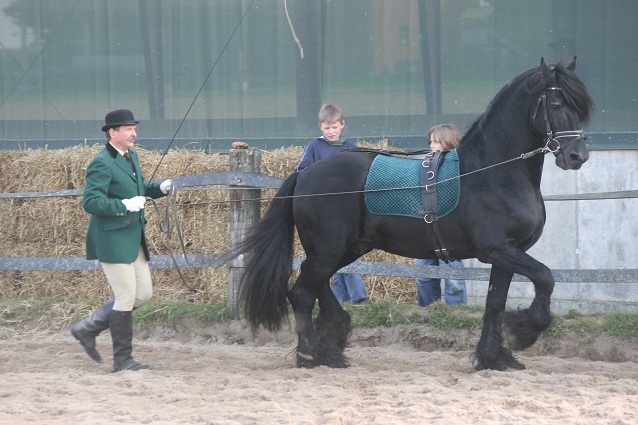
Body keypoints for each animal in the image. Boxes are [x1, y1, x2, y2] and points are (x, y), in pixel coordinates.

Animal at [238, 58, 596, 370]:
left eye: (580, 108)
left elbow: (495, 302)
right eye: (556, 105)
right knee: (301, 293)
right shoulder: (497, 249)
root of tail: (306, 173)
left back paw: (331, 344)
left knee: (315, 284)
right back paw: (312, 355)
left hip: (346, 248)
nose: (577, 156)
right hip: (329, 248)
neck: (492, 172)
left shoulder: (507, 253)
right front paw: (524, 331)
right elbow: (545, 278)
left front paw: (493, 358)